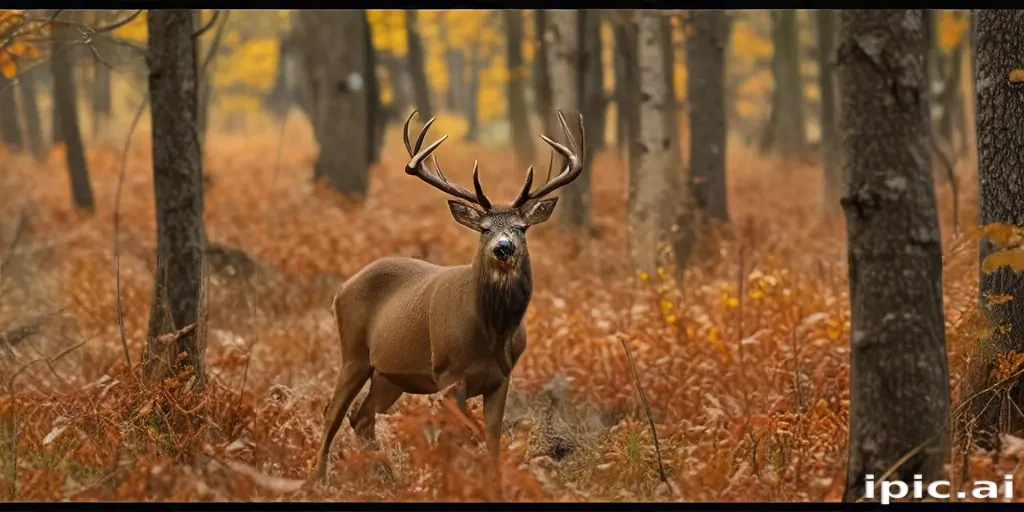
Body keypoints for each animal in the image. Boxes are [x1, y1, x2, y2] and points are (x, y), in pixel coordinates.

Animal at [309, 110, 586, 485]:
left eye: (521, 228)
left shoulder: (502, 378)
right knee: (332, 413)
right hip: (353, 353)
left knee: (361, 416)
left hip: (390, 375)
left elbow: (492, 437)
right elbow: (464, 432)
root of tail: (341, 289)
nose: (504, 247)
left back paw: (389, 477)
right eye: (484, 229)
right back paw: (317, 479)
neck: (491, 333)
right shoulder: (448, 375)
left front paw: (492, 482)